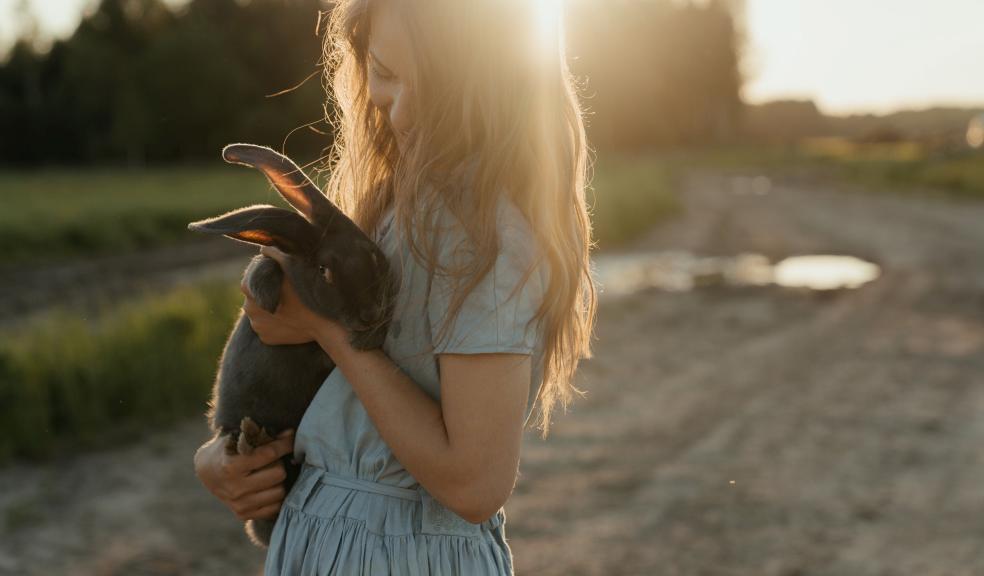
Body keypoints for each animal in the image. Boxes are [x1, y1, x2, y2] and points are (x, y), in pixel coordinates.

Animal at [188, 144, 396, 548]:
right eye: (325, 271)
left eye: (372, 254)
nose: (370, 313)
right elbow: (262, 268)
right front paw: (267, 296)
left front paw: (368, 337)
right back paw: (250, 440)